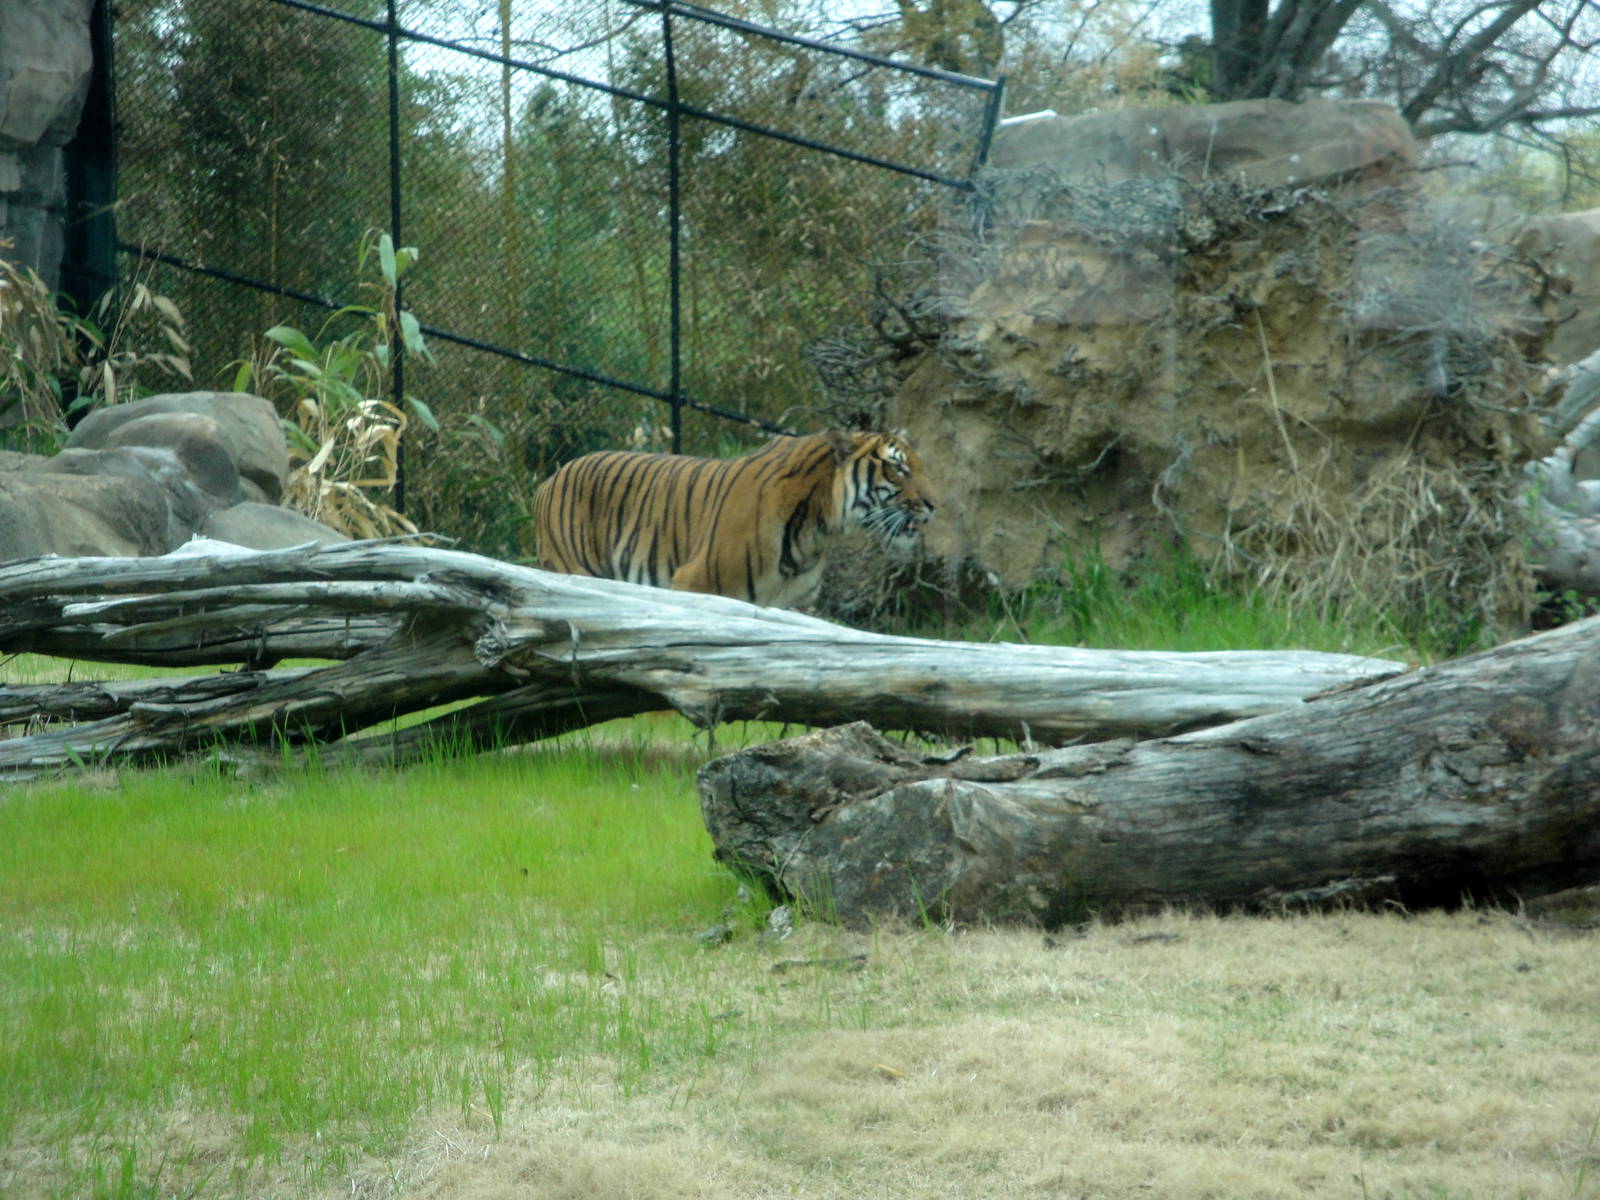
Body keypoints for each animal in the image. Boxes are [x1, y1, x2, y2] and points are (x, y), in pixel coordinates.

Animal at [531, 429, 936, 609]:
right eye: (898, 468)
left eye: (919, 465)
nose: (934, 505)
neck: (814, 531)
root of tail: (549, 480)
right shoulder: (695, 583)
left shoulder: (796, 606)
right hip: (574, 574)